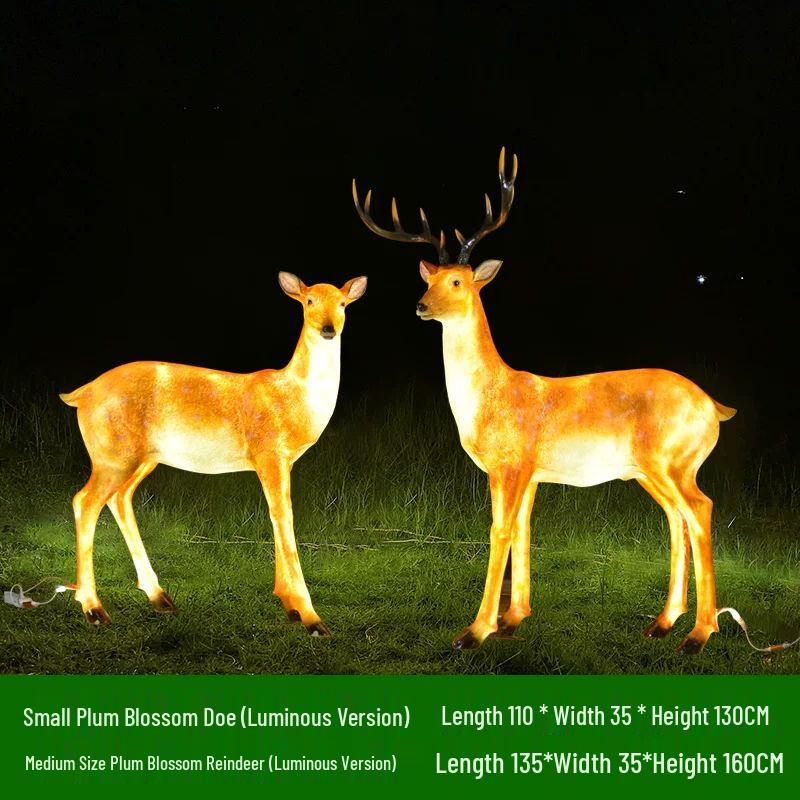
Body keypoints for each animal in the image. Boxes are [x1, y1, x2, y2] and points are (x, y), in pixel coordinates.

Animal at [60, 272, 367, 635]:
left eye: (343, 303)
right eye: (309, 301)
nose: (328, 328)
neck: (292, 397)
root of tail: (80, 394)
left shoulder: (281, 461)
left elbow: (276, 517)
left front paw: (289, 606)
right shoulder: (269, 453)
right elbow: (284, 518)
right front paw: (311, 618)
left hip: (141, 458)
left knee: (119, 499)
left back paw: (160, 598)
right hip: (111, 455)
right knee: (85, 501)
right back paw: (94, 609)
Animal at [353, 148, 736, 654]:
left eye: (458, 282)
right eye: (431, 278)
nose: (421, 305)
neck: (490, 396)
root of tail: (715, 407)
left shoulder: (511, 464)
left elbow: (498, 531)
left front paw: (474, 631)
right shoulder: (528, 473)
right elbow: (522, 530)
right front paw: (513, 619)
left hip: (674, 461)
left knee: (701, 511)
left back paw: (699, 633)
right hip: (649, 470)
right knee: (678, 519)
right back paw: (664, 622)